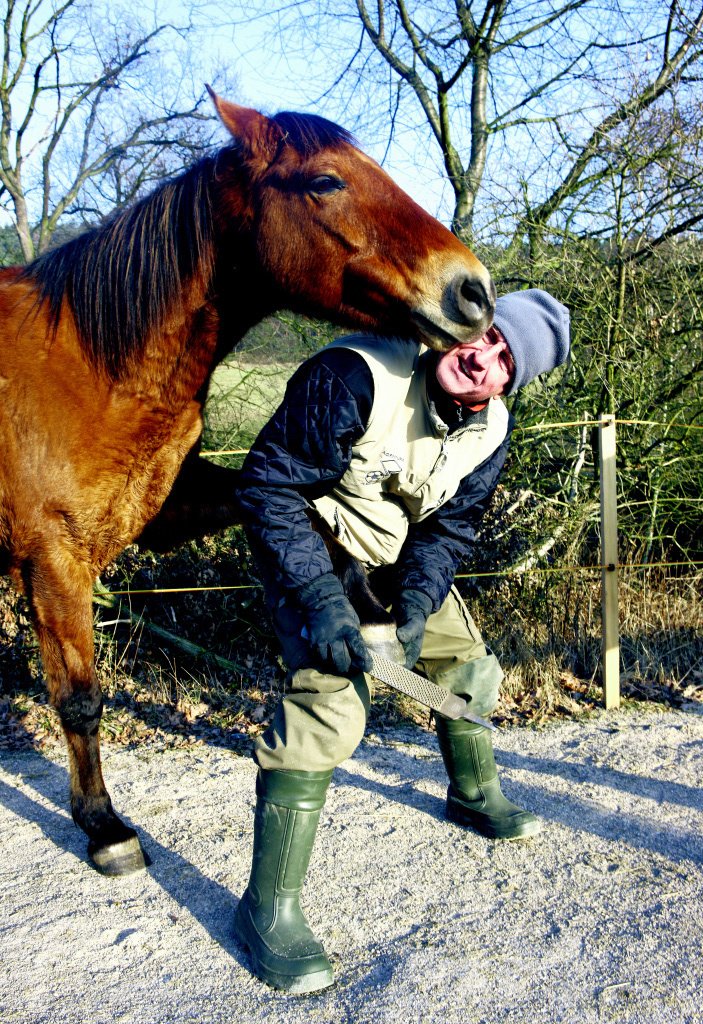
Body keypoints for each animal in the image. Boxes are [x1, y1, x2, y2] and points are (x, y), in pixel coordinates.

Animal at [0, 88, 495, 876]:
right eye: (324, 181)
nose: (472, 291)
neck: (88, 362)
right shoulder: (52, 561)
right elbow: (79, 700)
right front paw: (104, 828)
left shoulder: (170, 508)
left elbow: (293, 505)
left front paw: (359, 602)